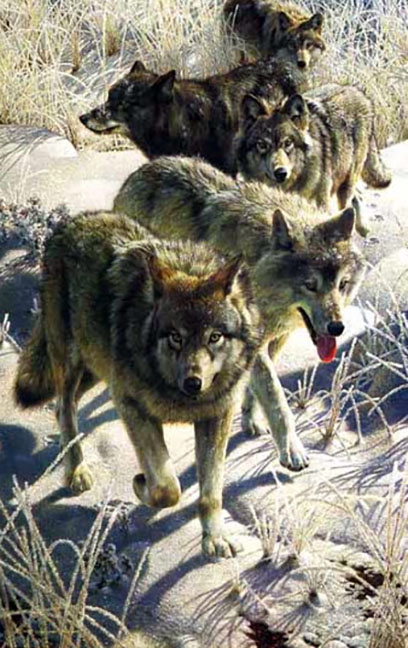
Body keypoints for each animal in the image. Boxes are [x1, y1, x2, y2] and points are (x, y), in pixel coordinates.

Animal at [14, 212, 263, 558]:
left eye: (214, 336)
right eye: (175, 337)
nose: (193, 383)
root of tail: (74, 222)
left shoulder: (216, 415)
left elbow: (211, 491)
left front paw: (215, 539)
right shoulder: (131, 406)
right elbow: (167, 487)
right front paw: (140, 484)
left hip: (97, 369)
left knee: (67, 405)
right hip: (73, 362)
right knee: (64, 408)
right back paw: (75, 469)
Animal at [114, 156, 366, 471]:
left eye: (343, 284)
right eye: (311, 285)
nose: (337, 328)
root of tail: (144, 170)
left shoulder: (272, 339)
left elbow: (256, 388)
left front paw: (250, 420)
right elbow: (275, 397)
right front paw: (292, 450)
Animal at [235, 84, 392, 236]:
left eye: (288, 143)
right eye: (262, 145)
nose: (281, 173)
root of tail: (356, 91)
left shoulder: (321, 204)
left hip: (346, 182)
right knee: (357, 196)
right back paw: (363, 228)